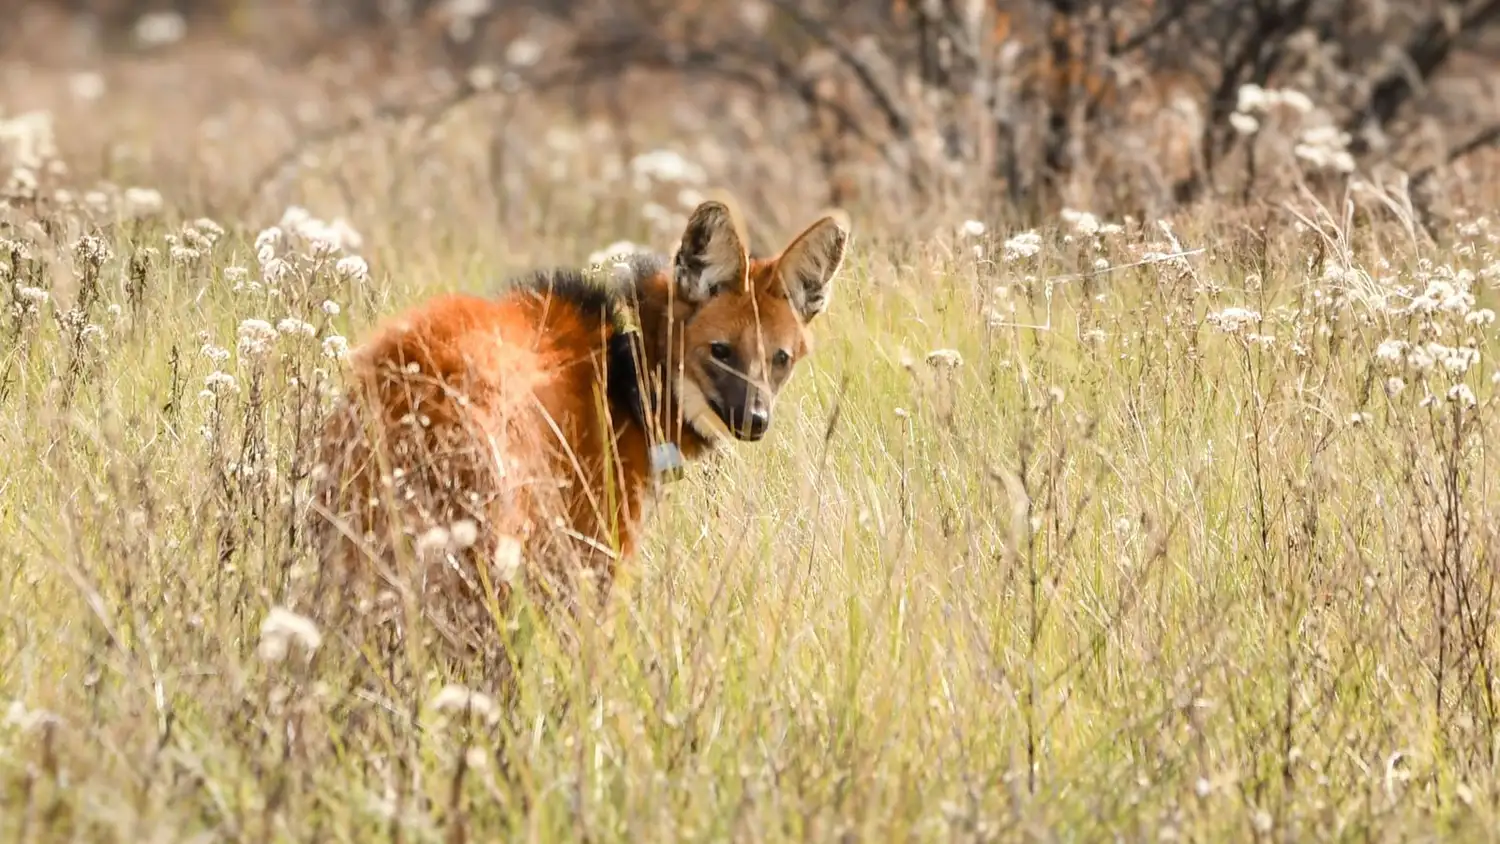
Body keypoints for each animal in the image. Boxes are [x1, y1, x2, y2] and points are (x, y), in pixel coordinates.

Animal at [306, 198, 851, 630]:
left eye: (779, 358)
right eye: (721, 351)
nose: (755, 419)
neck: (623, 362)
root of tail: (412, 371)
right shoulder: (591, 550)